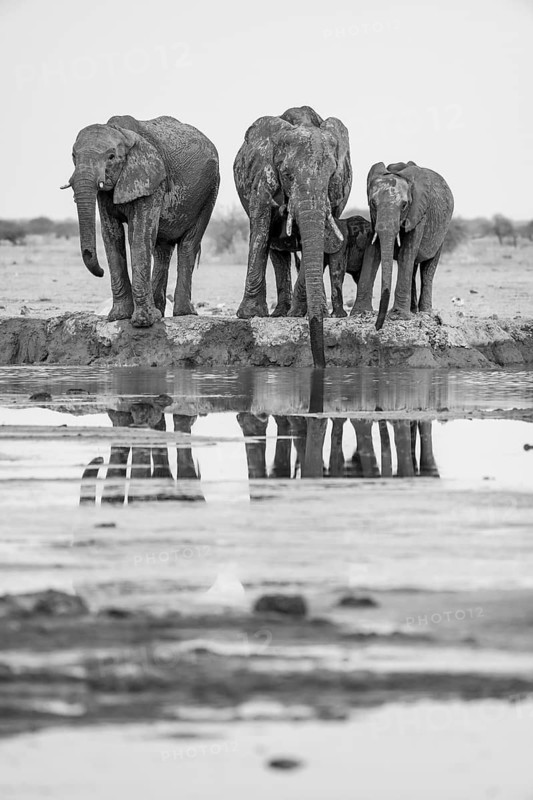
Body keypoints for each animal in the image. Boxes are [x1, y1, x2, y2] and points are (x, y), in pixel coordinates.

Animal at [62, 115, 219, 326]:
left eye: (111, 157)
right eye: (73, 155)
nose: (100, 271)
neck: (122, 133)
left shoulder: (152, 181)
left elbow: (140, 235)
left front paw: (144, 322)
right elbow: (112, 236)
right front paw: (118, 317)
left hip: (210, 190)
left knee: (188, 244)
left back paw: (185, 313)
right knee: (162, 250)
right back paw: (161, 312)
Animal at [233, 105, 352, 367]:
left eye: (331, 175)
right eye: (287, 175)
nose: (320, 366)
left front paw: (298, 314)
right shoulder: (262, 173)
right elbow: (260, 227)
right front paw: (249, 315)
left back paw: (298, 312)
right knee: (276, 252)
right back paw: (279, 313)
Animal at [352, 161, 454, 329]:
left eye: (404, 205)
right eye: (373, 203)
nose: (377, 326)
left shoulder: (419, 213)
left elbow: (406, 253)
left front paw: (398, 317)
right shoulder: (374, 218)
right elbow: (372, 252)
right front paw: (359, 313)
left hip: (442, 233)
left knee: (427, 269)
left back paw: (425, 312)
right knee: (412, 268)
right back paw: (413, 311)